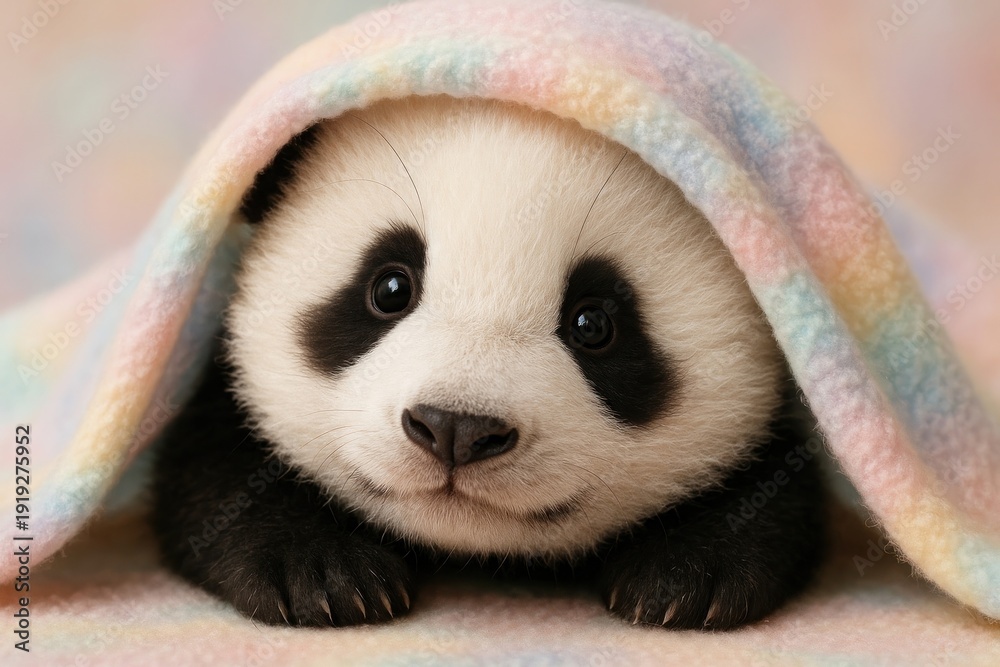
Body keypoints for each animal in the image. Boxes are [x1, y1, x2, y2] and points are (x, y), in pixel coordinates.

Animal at [151, 94, 825, 630]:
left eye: (593, 324)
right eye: (389, 288)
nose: (456, 428)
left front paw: (686, 577)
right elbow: (212, 466)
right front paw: (317, 571)